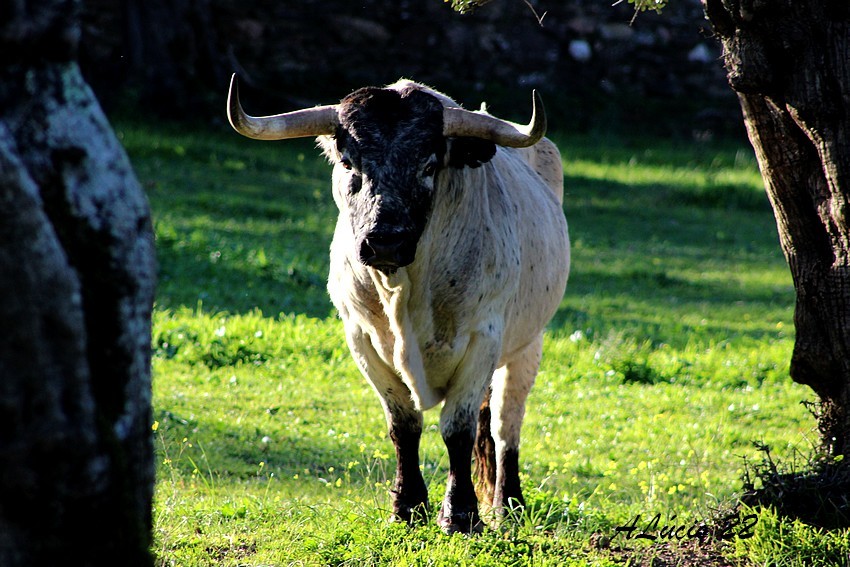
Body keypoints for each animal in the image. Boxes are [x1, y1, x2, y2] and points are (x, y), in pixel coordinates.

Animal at [227, 75, 570, 534]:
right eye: (349, 163)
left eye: (429, 166)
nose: (385, 241)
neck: (404, 293)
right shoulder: (362, 339)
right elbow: (403, 425)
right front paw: (407, 506)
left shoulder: (482, 339)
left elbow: (458, 429)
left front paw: (461, 514)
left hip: (528, 343)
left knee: (504, 424)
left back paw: (507, 503)